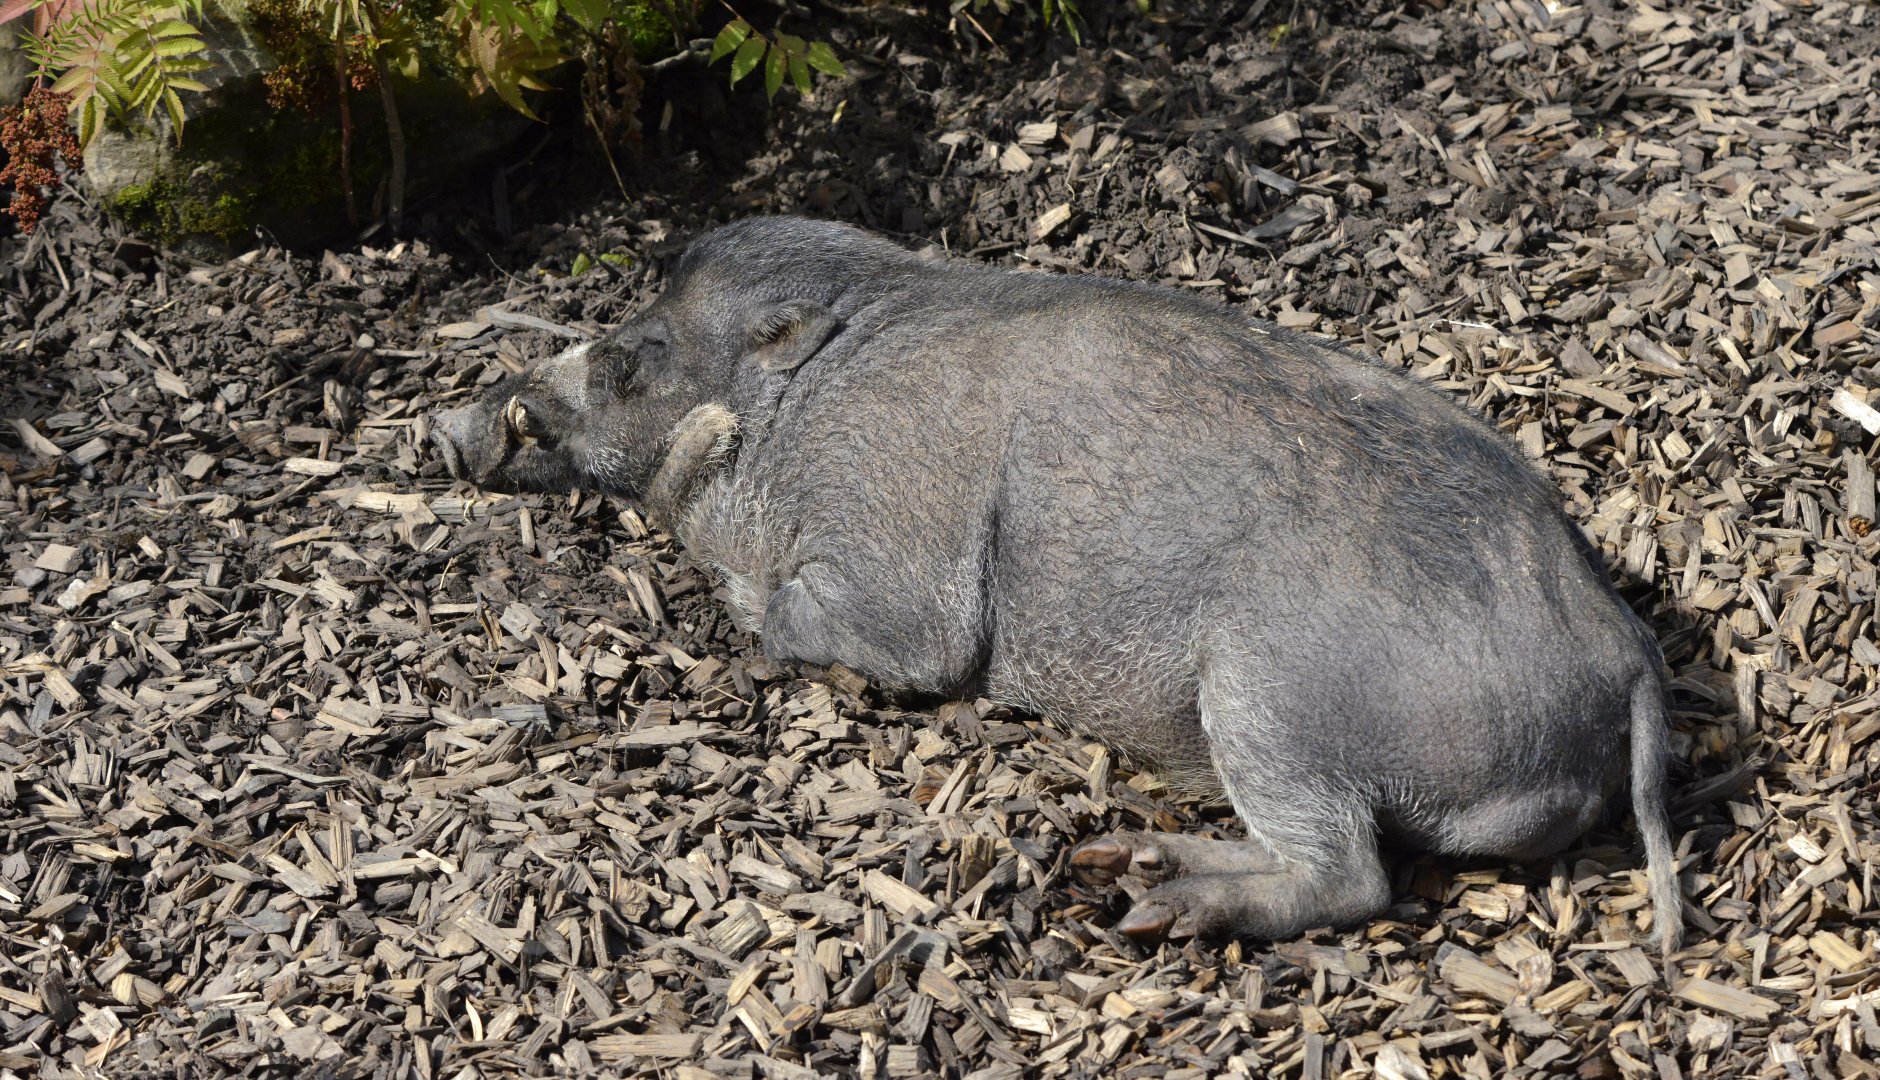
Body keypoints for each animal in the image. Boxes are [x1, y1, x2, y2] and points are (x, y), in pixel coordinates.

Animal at [430, 216, 1682, 950]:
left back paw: (1150, 899)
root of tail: (1620, 654)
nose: (454, 427)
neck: (804, 408)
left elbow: (807, 617)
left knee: (1351, 877)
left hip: (1269, 699)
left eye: (633, 359)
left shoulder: (898, 588)